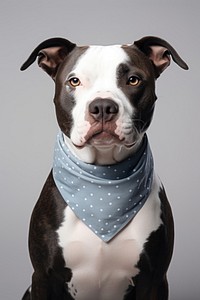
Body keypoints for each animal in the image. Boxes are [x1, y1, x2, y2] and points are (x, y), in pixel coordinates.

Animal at [20, 36, 188, 298]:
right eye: (74, 81)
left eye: (133, 79)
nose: (102, 107)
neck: (103, 181)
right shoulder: (42, 278)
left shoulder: (155, 280)